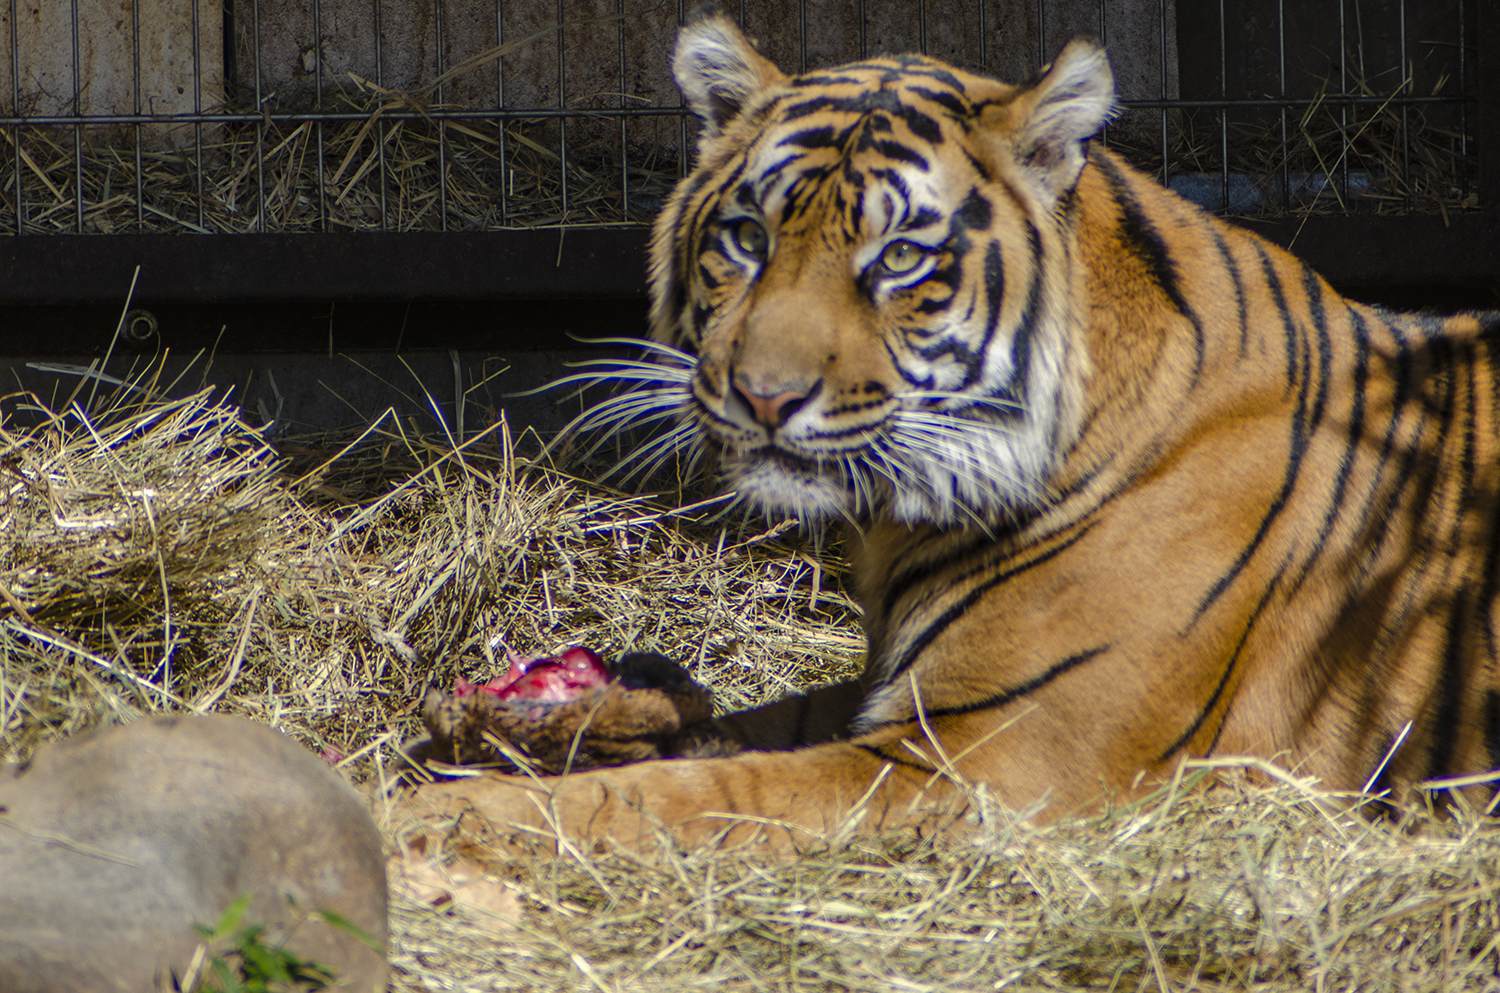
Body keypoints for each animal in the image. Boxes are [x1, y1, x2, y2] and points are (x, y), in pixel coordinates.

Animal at [402, 8, 1500, 846]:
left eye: (898, 260)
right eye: (747, 239)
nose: (765, 395)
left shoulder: (983, 758)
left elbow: (698, 793)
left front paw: (445, 818)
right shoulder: (898, 694)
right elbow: (738, 729)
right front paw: (534, 722)